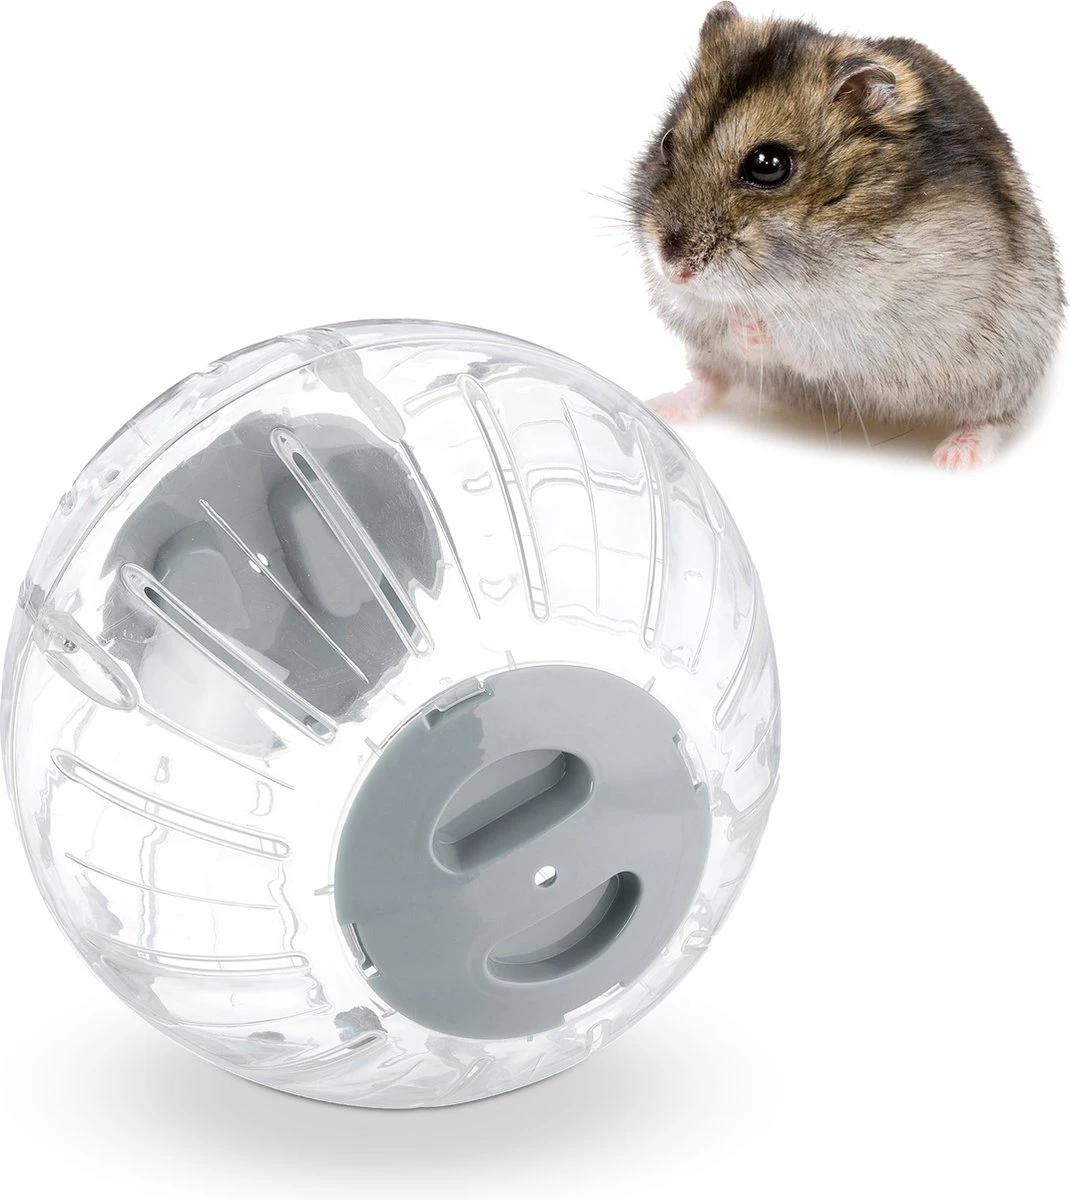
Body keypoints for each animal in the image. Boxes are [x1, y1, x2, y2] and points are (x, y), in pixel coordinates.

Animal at [629, 3, 1064, 467]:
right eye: (666, 143)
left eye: (768, 164)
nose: (674, 269)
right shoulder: (682, 303)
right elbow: (708, 314)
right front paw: (735, 318)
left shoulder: (864, 324)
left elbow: (790, 334)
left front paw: (752, 325)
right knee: (713, 380)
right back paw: (662, 407)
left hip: (1006, 371)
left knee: (994, 419)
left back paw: (957, 457)